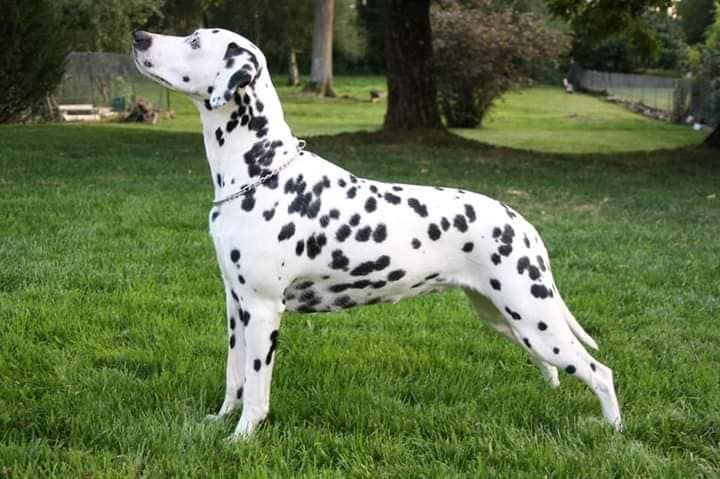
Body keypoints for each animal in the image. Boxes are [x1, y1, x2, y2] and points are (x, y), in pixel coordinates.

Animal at [133, 28, 622, 439]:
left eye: (195, 41)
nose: (139, 36)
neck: (260, 170)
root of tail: (521, 222)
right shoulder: (236, 307)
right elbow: (234, 379)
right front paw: (219, 423)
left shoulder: (263, 309)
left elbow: (255, 390)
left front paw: (241, 439)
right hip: (506, 318)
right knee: (555, 365)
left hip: (535, 318)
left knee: (599, 371)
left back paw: (613, 433)